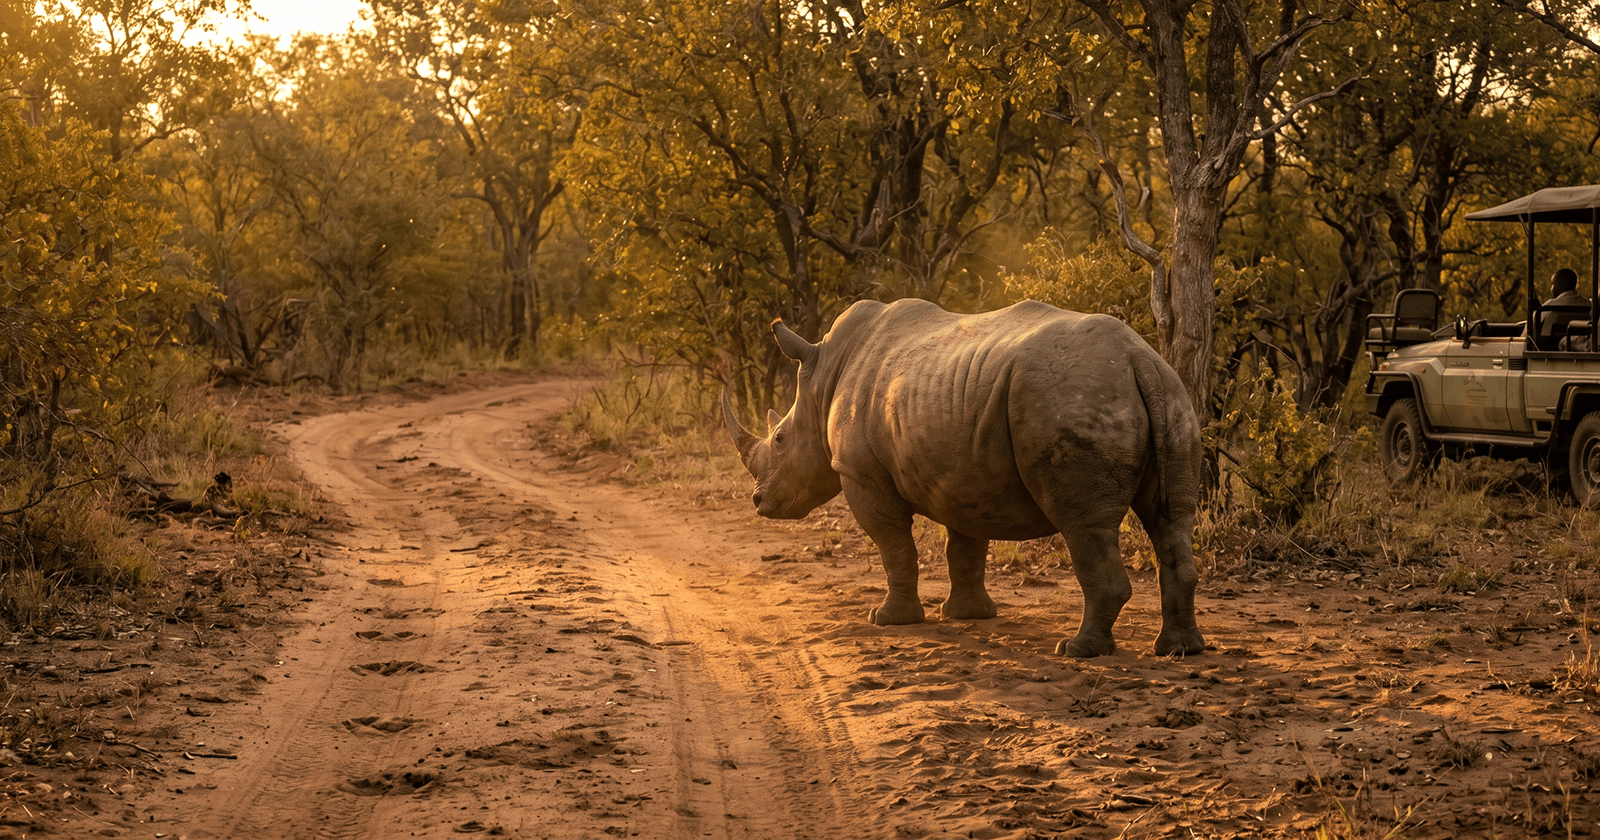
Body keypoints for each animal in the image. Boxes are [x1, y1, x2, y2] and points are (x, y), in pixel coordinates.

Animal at [722, 298, 1205, 657]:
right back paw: (1180, 649)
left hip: (1075, 396)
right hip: (1172, 398)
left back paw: (1078, 650)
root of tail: (1138, 357)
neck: (823, 381)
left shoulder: (861, 473)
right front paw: (968, 615)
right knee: (1171, 519)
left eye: (780, 439)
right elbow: (965, 548)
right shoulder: (966, 475)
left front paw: (888, 620)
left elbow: (894, 546)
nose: (758, 501)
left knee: (1084, 525)